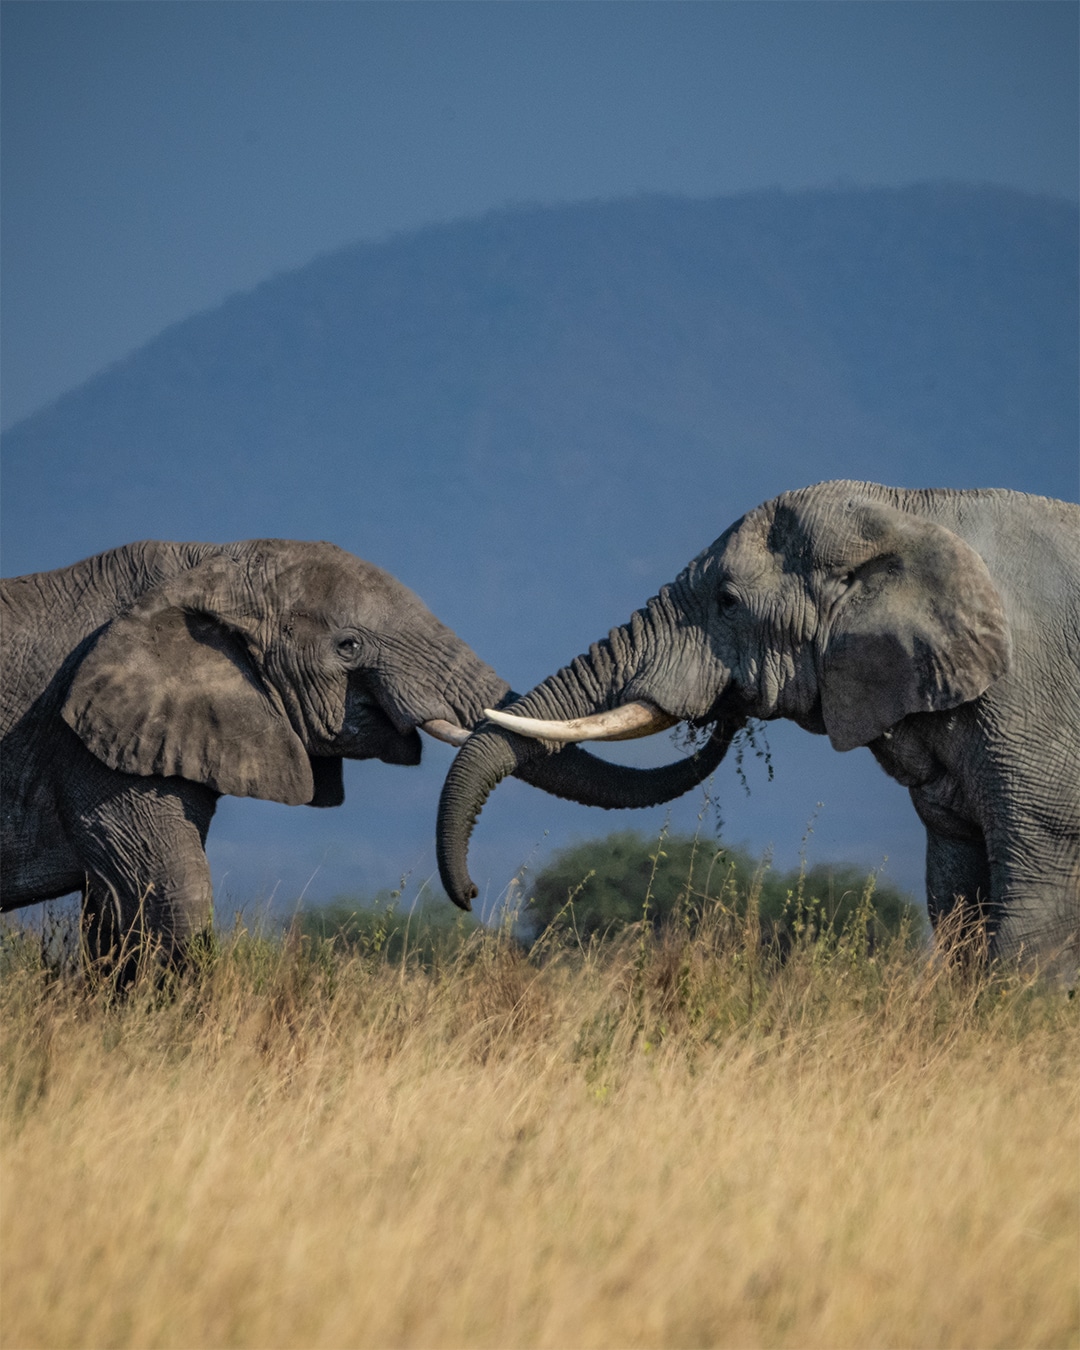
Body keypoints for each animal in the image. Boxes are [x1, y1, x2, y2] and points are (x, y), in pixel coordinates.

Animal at [1, 537, 730, 968]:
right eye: (349, 646)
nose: (472, 894)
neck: (201, 567)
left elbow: (113, 916)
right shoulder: (87, 742)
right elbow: (162, 900)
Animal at [438, 482, 1080, 973]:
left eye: (726, 600)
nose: (470, 895)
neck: (915, 510)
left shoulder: (1033, 706)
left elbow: (1033, 914)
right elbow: (957, 902)